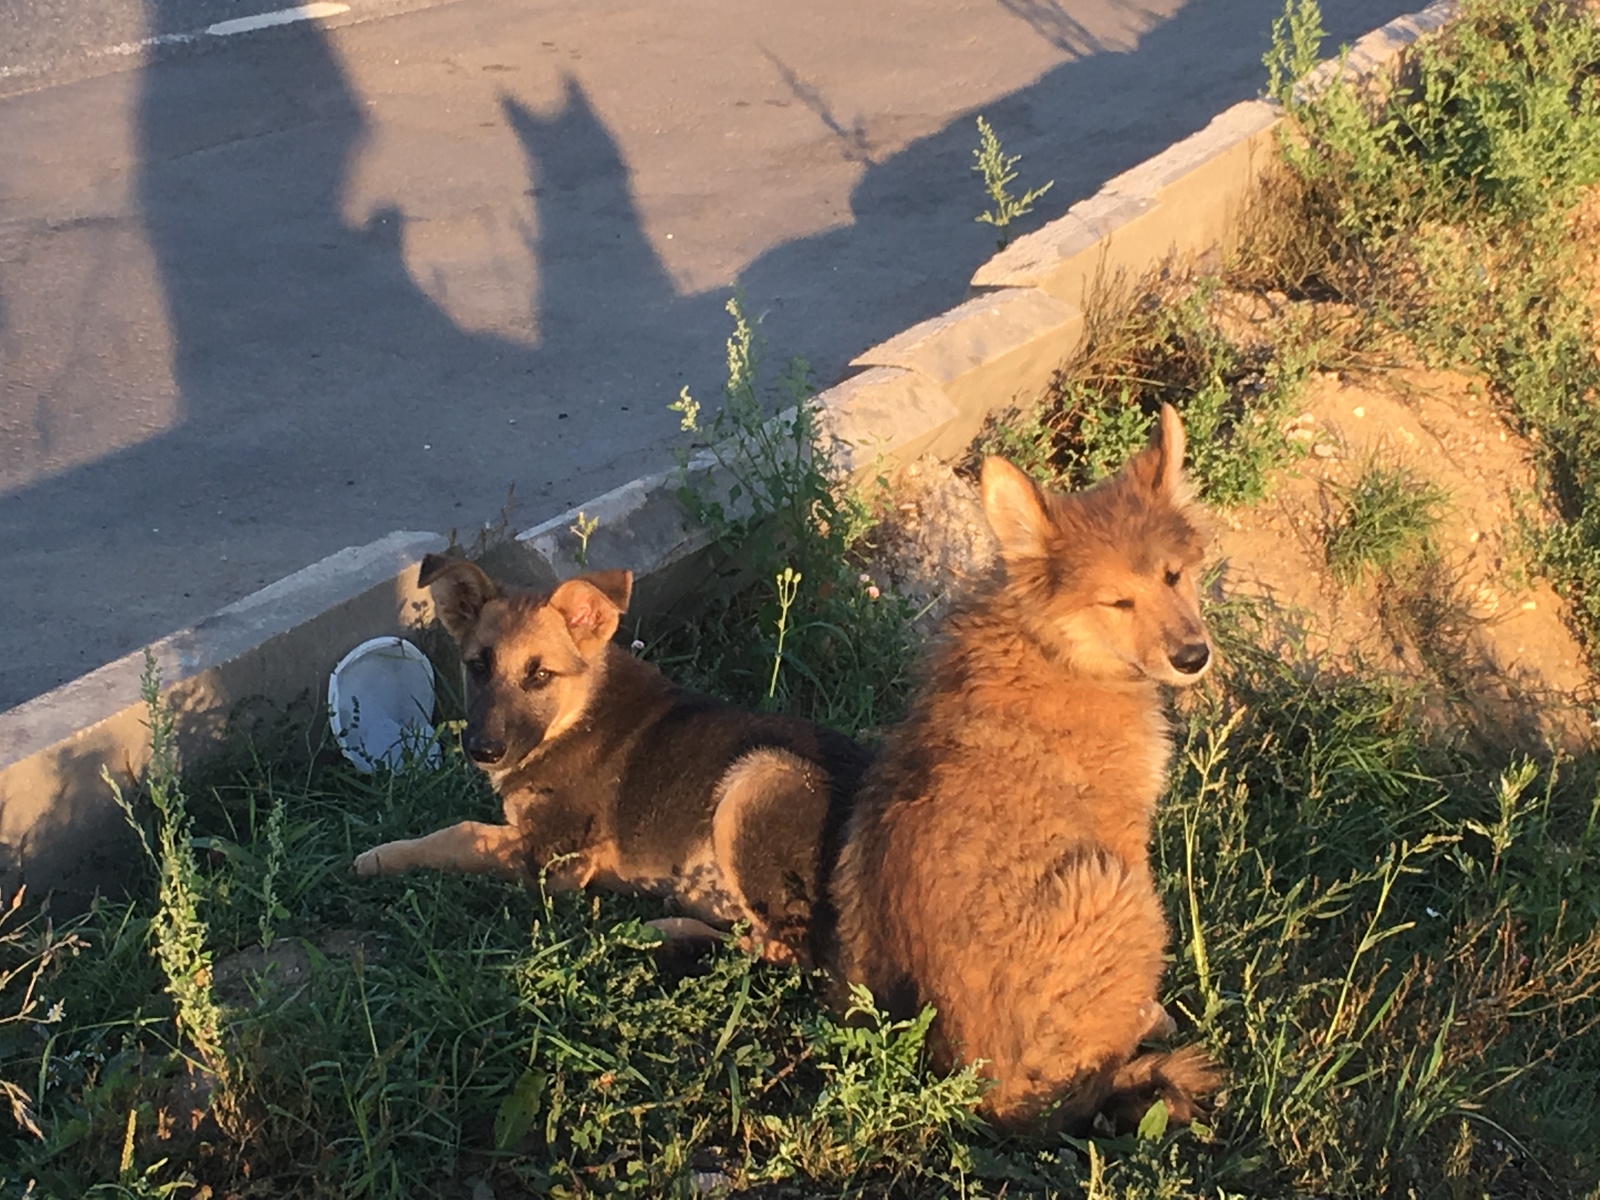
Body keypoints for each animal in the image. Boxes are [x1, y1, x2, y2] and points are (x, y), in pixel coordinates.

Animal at [355, 556, 870, 966]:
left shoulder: (553, 857)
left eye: (540, 675)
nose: (482, 750)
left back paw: (665, 933)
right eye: (477, 666)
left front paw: (383, 856)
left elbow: (460, 834)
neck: (575, 714)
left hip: (762, 778)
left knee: (787, 952)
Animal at [832, 409, 1216, 1132]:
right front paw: (1155, 1013)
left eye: (1173, 576)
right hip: (1115, 888)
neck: (1057, 649)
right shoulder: (1123, 837)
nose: (1193, 656)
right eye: (1117, 602)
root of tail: (997, 1104)